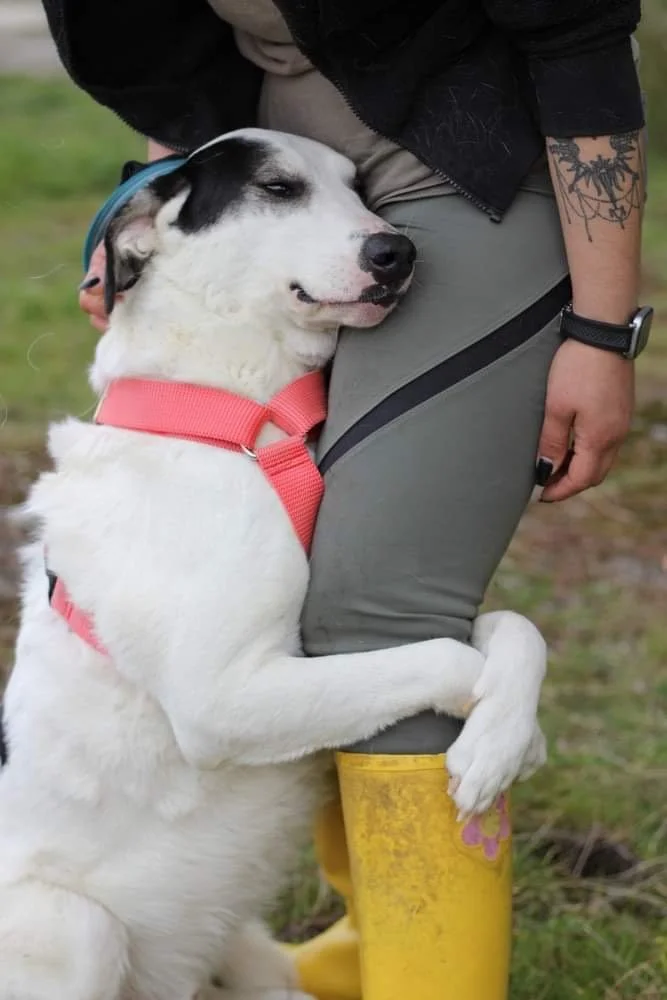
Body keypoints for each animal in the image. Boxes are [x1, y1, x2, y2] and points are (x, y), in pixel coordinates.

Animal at [0, 129, 547, 1000]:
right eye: (278, 188)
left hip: (246, 958)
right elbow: (445, 653)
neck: (247, 419)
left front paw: (507, 731)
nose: (397, 252)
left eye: (362, 189)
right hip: (74, 928)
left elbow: (511, 627)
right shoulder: (225, 699)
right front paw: (506, 744)